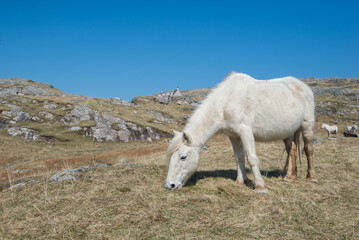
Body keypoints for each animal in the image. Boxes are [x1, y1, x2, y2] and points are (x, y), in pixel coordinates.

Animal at [166, 72, 318, 193]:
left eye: (183, 157)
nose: (170, 185)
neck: (227, 102)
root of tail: (303, 86)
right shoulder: (234, 136)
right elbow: (239, 157)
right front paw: (240, 181)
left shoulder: (246, 131)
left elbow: (252, 158)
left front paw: (260, 187)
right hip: (289, 132)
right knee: (291, 149)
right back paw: (290, 177)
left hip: (307, 126)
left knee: (308, 150)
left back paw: (311, 177)